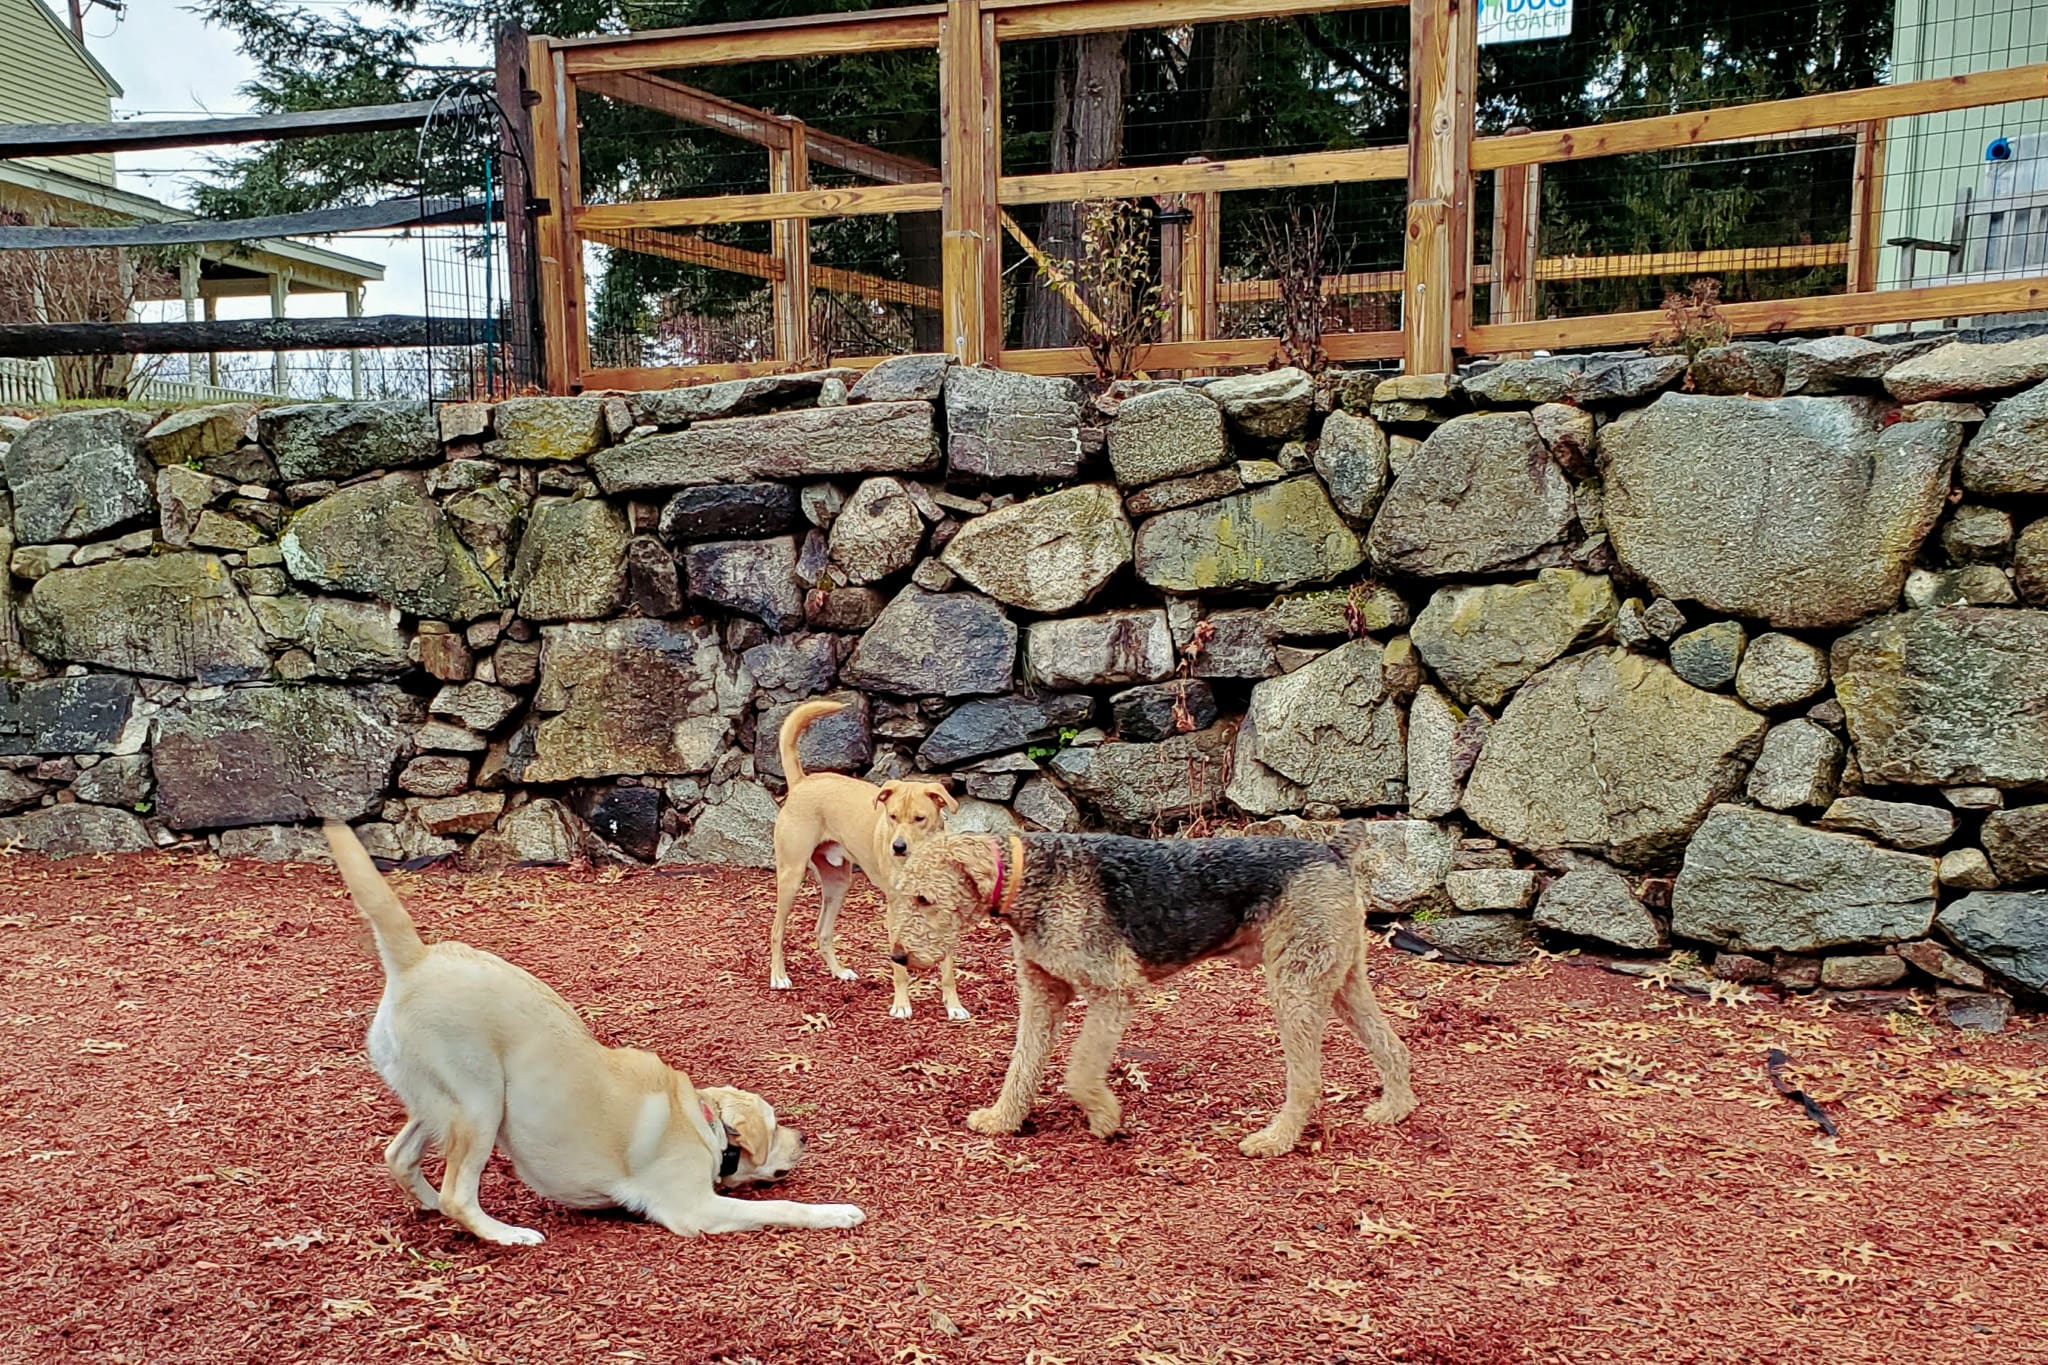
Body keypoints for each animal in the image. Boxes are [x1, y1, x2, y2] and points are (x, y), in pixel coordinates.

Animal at [321, 818, 864, 1244]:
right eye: (775, 1125)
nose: (805, 1137)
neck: (704, 1120)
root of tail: (416, 958)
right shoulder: (696, 1208)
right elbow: (784, 1208)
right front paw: (838, 1212)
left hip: (436, 1102)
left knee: (398, 1156)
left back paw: (430, 1203)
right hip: (480, 1102)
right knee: (459, 1193)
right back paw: (505, 1233)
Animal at [770, 699, 966, 1019]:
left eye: (919, 819)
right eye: (892, 816)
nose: (897, 847)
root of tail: (802, 782)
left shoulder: (944, 911)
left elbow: (948, 968)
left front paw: (954, 1006)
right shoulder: (895, 911)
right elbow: (900, 968)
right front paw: (901, 1004)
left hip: (838, 885)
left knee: (822, 932)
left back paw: (838, 972)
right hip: (791, 876)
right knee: (776, 931)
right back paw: (778, 976)